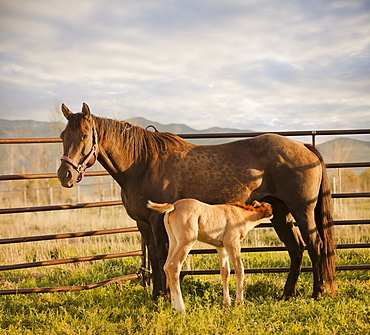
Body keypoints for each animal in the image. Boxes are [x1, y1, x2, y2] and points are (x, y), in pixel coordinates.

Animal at [57, 103, 336, 302]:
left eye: (84, 135)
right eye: (62, 135)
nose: (65, 175)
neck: (143, 164)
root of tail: (305, 146)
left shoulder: (158, 222)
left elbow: (161, 256)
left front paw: (164, 297)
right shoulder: (143, 225)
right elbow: (155, 258)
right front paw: (156, 296)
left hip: (303, 211)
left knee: (315, 246)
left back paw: (318, 293)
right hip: (280, 213)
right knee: (296, 248)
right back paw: (288, 294)